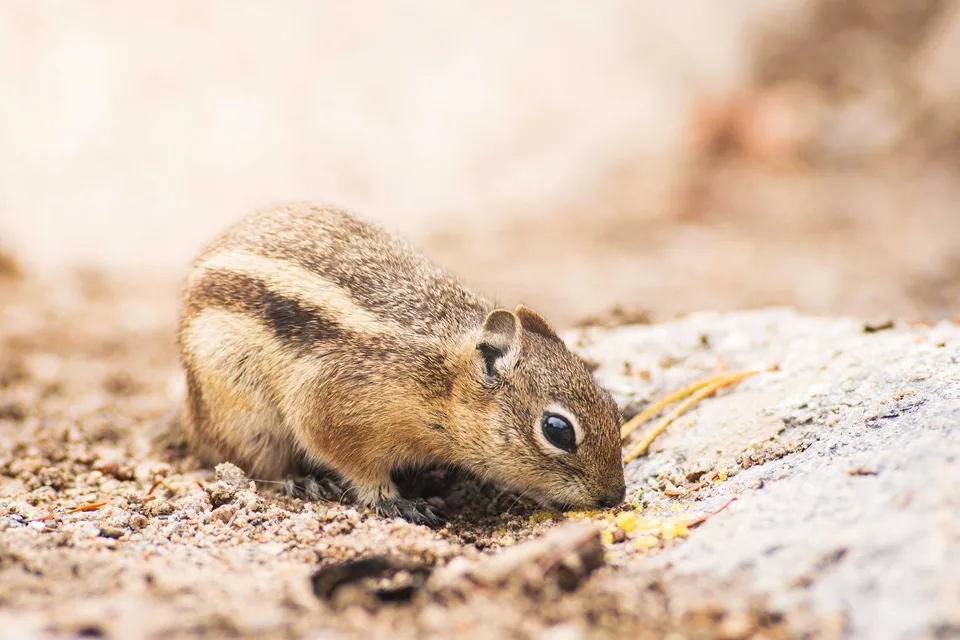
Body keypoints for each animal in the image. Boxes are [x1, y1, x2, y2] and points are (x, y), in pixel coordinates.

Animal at [177, 202, 626, 524]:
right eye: (557, 430)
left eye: (613, 406)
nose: (614, 496)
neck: (441, 381)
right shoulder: (330, 408)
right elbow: (356, 466)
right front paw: (397, 502)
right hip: (244, 414)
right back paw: (301, 479)